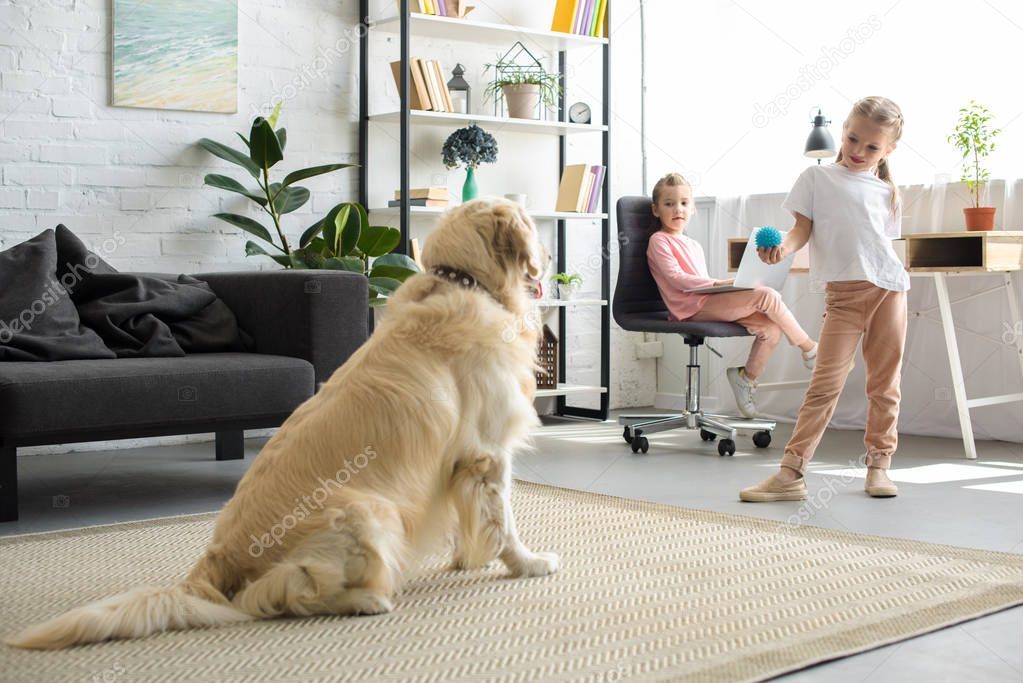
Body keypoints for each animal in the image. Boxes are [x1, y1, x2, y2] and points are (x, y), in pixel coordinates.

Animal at [7, 198, 556, 650]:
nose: (549, 258)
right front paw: (528, 564)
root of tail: (215, 559)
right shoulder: (487, 451)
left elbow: (472, 519)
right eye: (532, 226)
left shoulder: (460, 464)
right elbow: (502, 522)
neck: (467, 282)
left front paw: (467, 558)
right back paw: (367, 600)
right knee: (280, 594)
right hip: (368, 510)